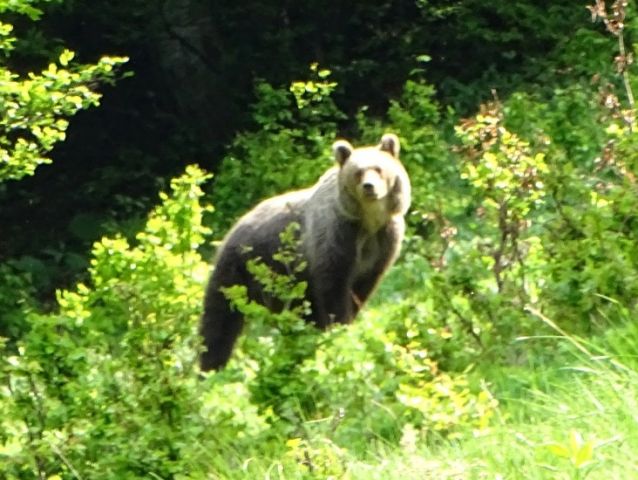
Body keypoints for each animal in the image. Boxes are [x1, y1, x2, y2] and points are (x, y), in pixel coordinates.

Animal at [199, 134, 410, 372]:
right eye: (358, 172)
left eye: (379, 168)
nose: (369, 187)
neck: (368, 222)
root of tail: (233, 228)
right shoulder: (337, 236)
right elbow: (333, 286)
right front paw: (339, 327)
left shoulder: (383, 241)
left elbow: (363, 287)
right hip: (245, 267)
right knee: (220, 317)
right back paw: (211, 366)